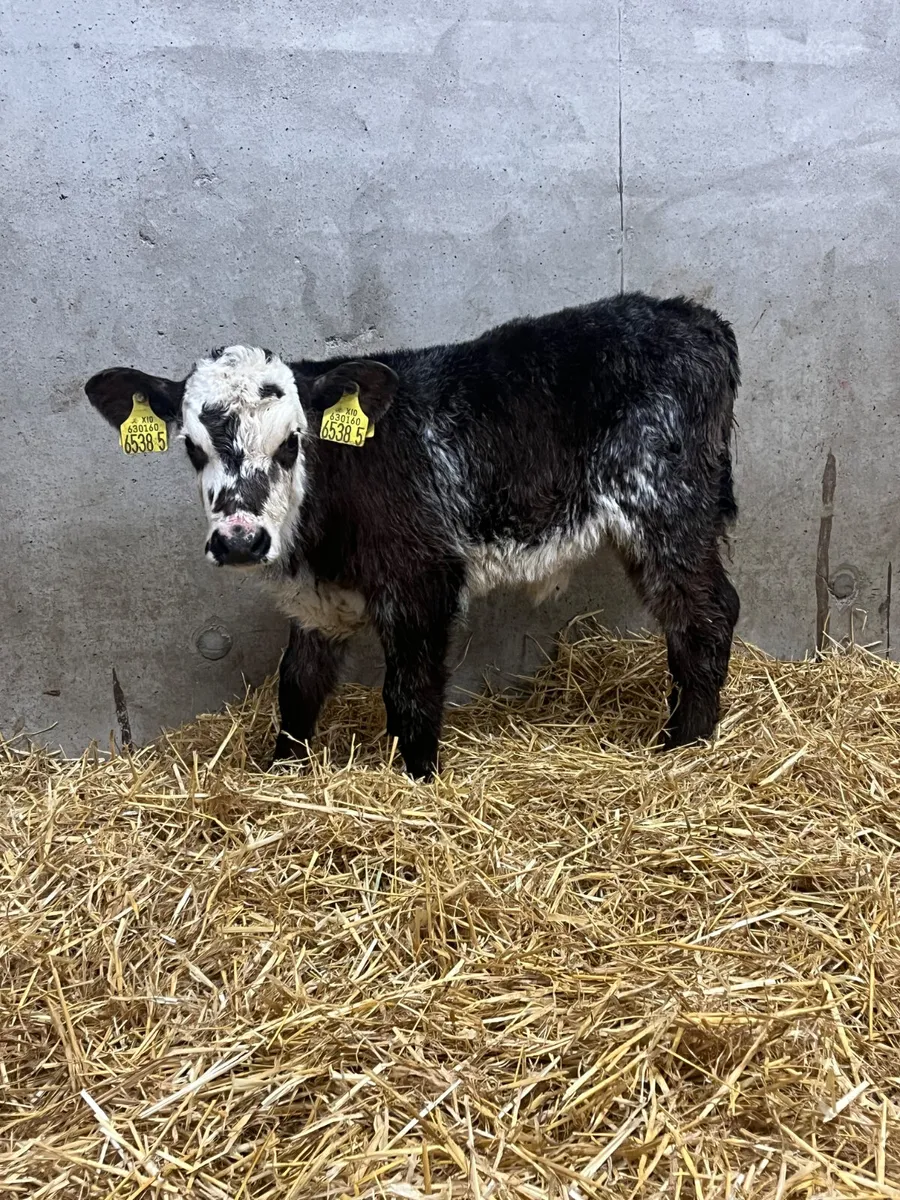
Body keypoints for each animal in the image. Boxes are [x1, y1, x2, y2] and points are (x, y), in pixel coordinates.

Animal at [85, 292, 740, 781]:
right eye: (192, 449)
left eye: (292, 442)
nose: (240, 539)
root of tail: (696, 318)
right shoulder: (316, 604)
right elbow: (296, 689)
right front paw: (280, 775)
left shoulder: (423, 578)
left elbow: (411, 694)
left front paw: (419, 780)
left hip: (667, 507)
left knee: (706, 614)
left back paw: (683, 745)